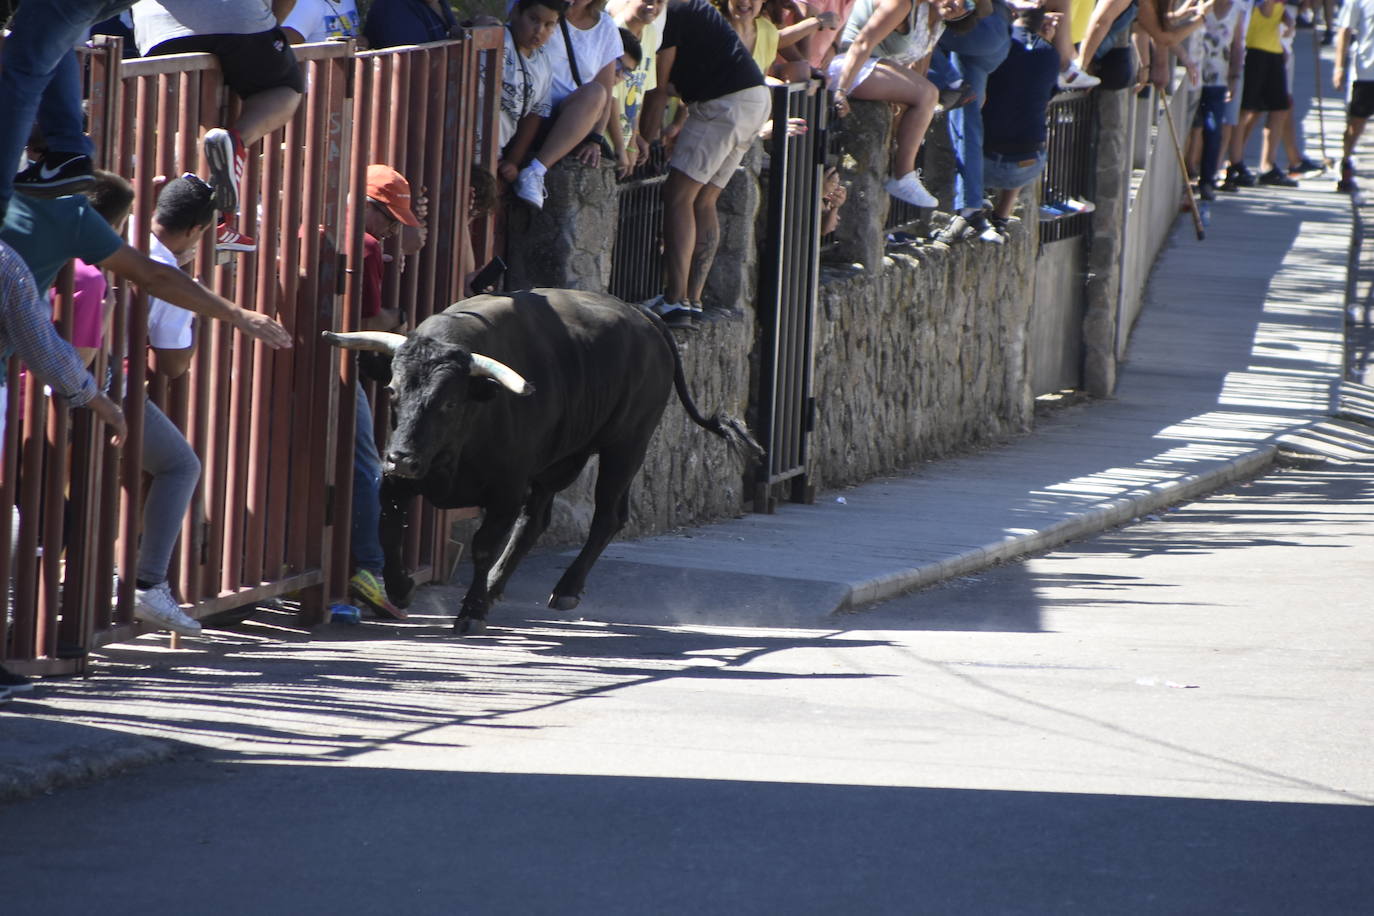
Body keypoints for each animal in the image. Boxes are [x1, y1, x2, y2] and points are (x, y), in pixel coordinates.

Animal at [324, 289, 763, 634]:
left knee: (607, 515)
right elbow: (388, 528)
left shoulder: (506, 489)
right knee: (536, 520)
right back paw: (496, 588)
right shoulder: (398, 482)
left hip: (626, 444)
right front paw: (399, 588)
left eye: (449, 402)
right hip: (562, 460)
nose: (402, 458)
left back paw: (563, 590)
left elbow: (483, 546)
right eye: (393, 391)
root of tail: (643, 315)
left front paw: (471, 611)